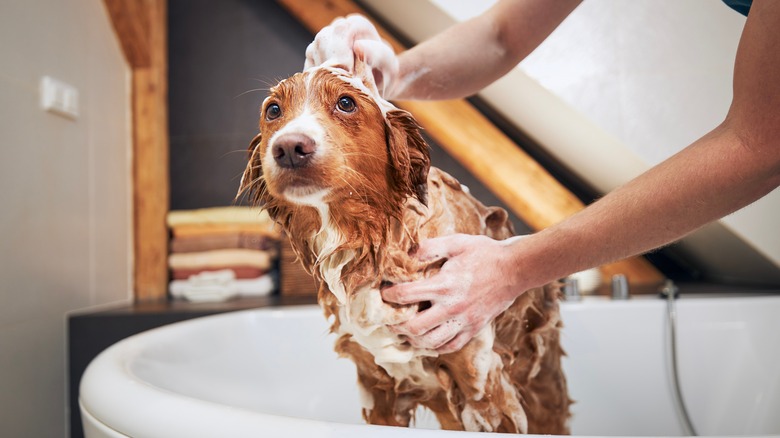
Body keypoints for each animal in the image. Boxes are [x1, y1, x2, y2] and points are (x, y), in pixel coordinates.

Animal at [235, 61, 568, 434]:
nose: (290, 147)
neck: (370, 243)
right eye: (273, 110)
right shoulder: (378, 389)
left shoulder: (483, 385)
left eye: (346, 103)